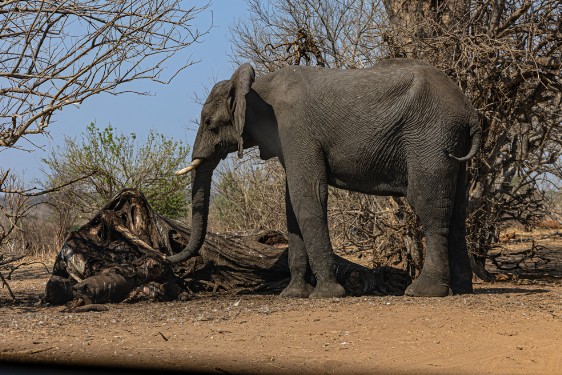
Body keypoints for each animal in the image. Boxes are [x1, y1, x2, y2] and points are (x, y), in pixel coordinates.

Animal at [168, 59, 480, 300]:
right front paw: (293, 295)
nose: (170, 255)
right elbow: (291, 205)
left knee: (428, 204)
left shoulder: (296, 129)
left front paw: (326, 294)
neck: (258, 86)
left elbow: (307, 196)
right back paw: (462, 289)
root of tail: (470, 111)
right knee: (457, 211)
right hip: (451, 143)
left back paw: (424, 292)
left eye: (209, 122)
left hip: (430, 138)